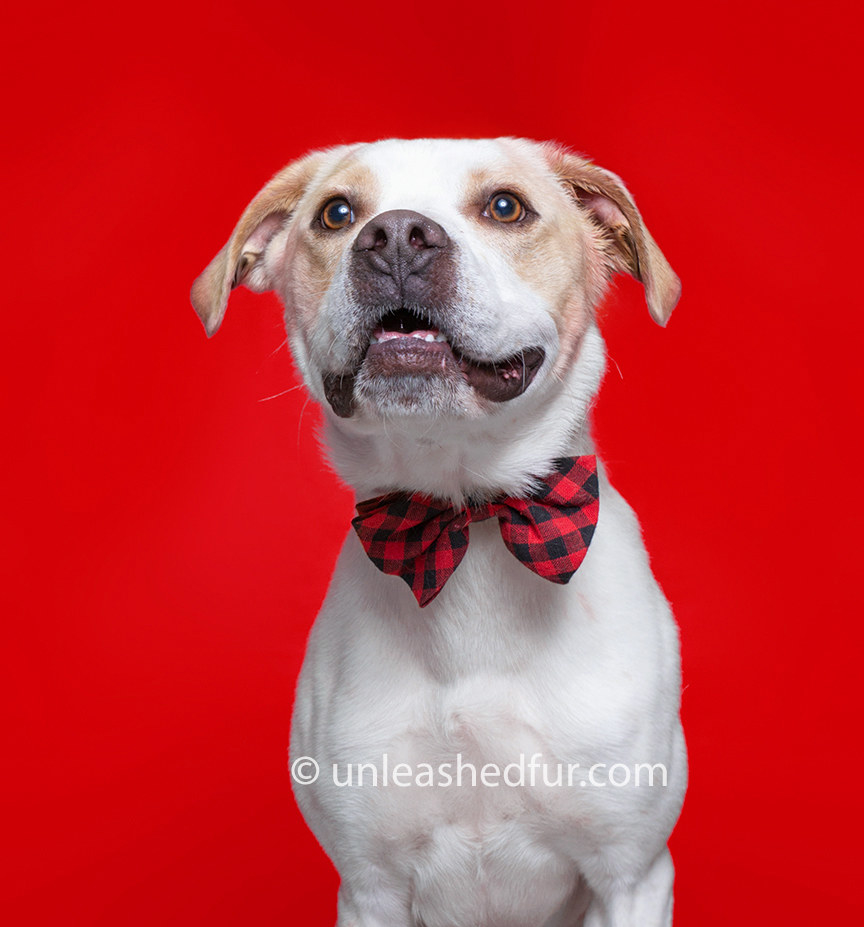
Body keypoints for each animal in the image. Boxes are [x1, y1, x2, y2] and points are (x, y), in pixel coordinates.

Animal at [191, 140, 688, 927]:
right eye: (336, 213)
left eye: (506, 206)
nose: (396, 236)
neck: (467, 524)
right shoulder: (370, 886)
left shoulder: (631, 875)